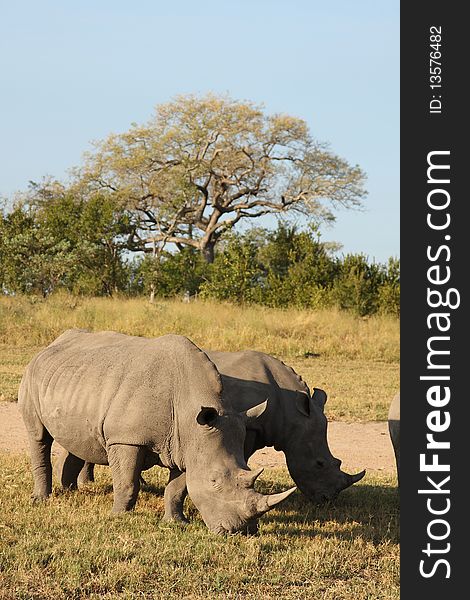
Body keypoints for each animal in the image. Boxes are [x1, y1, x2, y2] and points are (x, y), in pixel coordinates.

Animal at [21, 332, 298, 536]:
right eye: (214, 481)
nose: (241, 532)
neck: (189, 409)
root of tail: (50, 345)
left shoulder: (186, 444)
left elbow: (177, 488)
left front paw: (176, 523)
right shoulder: (126, 438)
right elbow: (127, 482)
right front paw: (119, 516)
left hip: (75, 383)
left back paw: (71, 492)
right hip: (32, 374)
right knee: (39, 436)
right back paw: (41, 499)